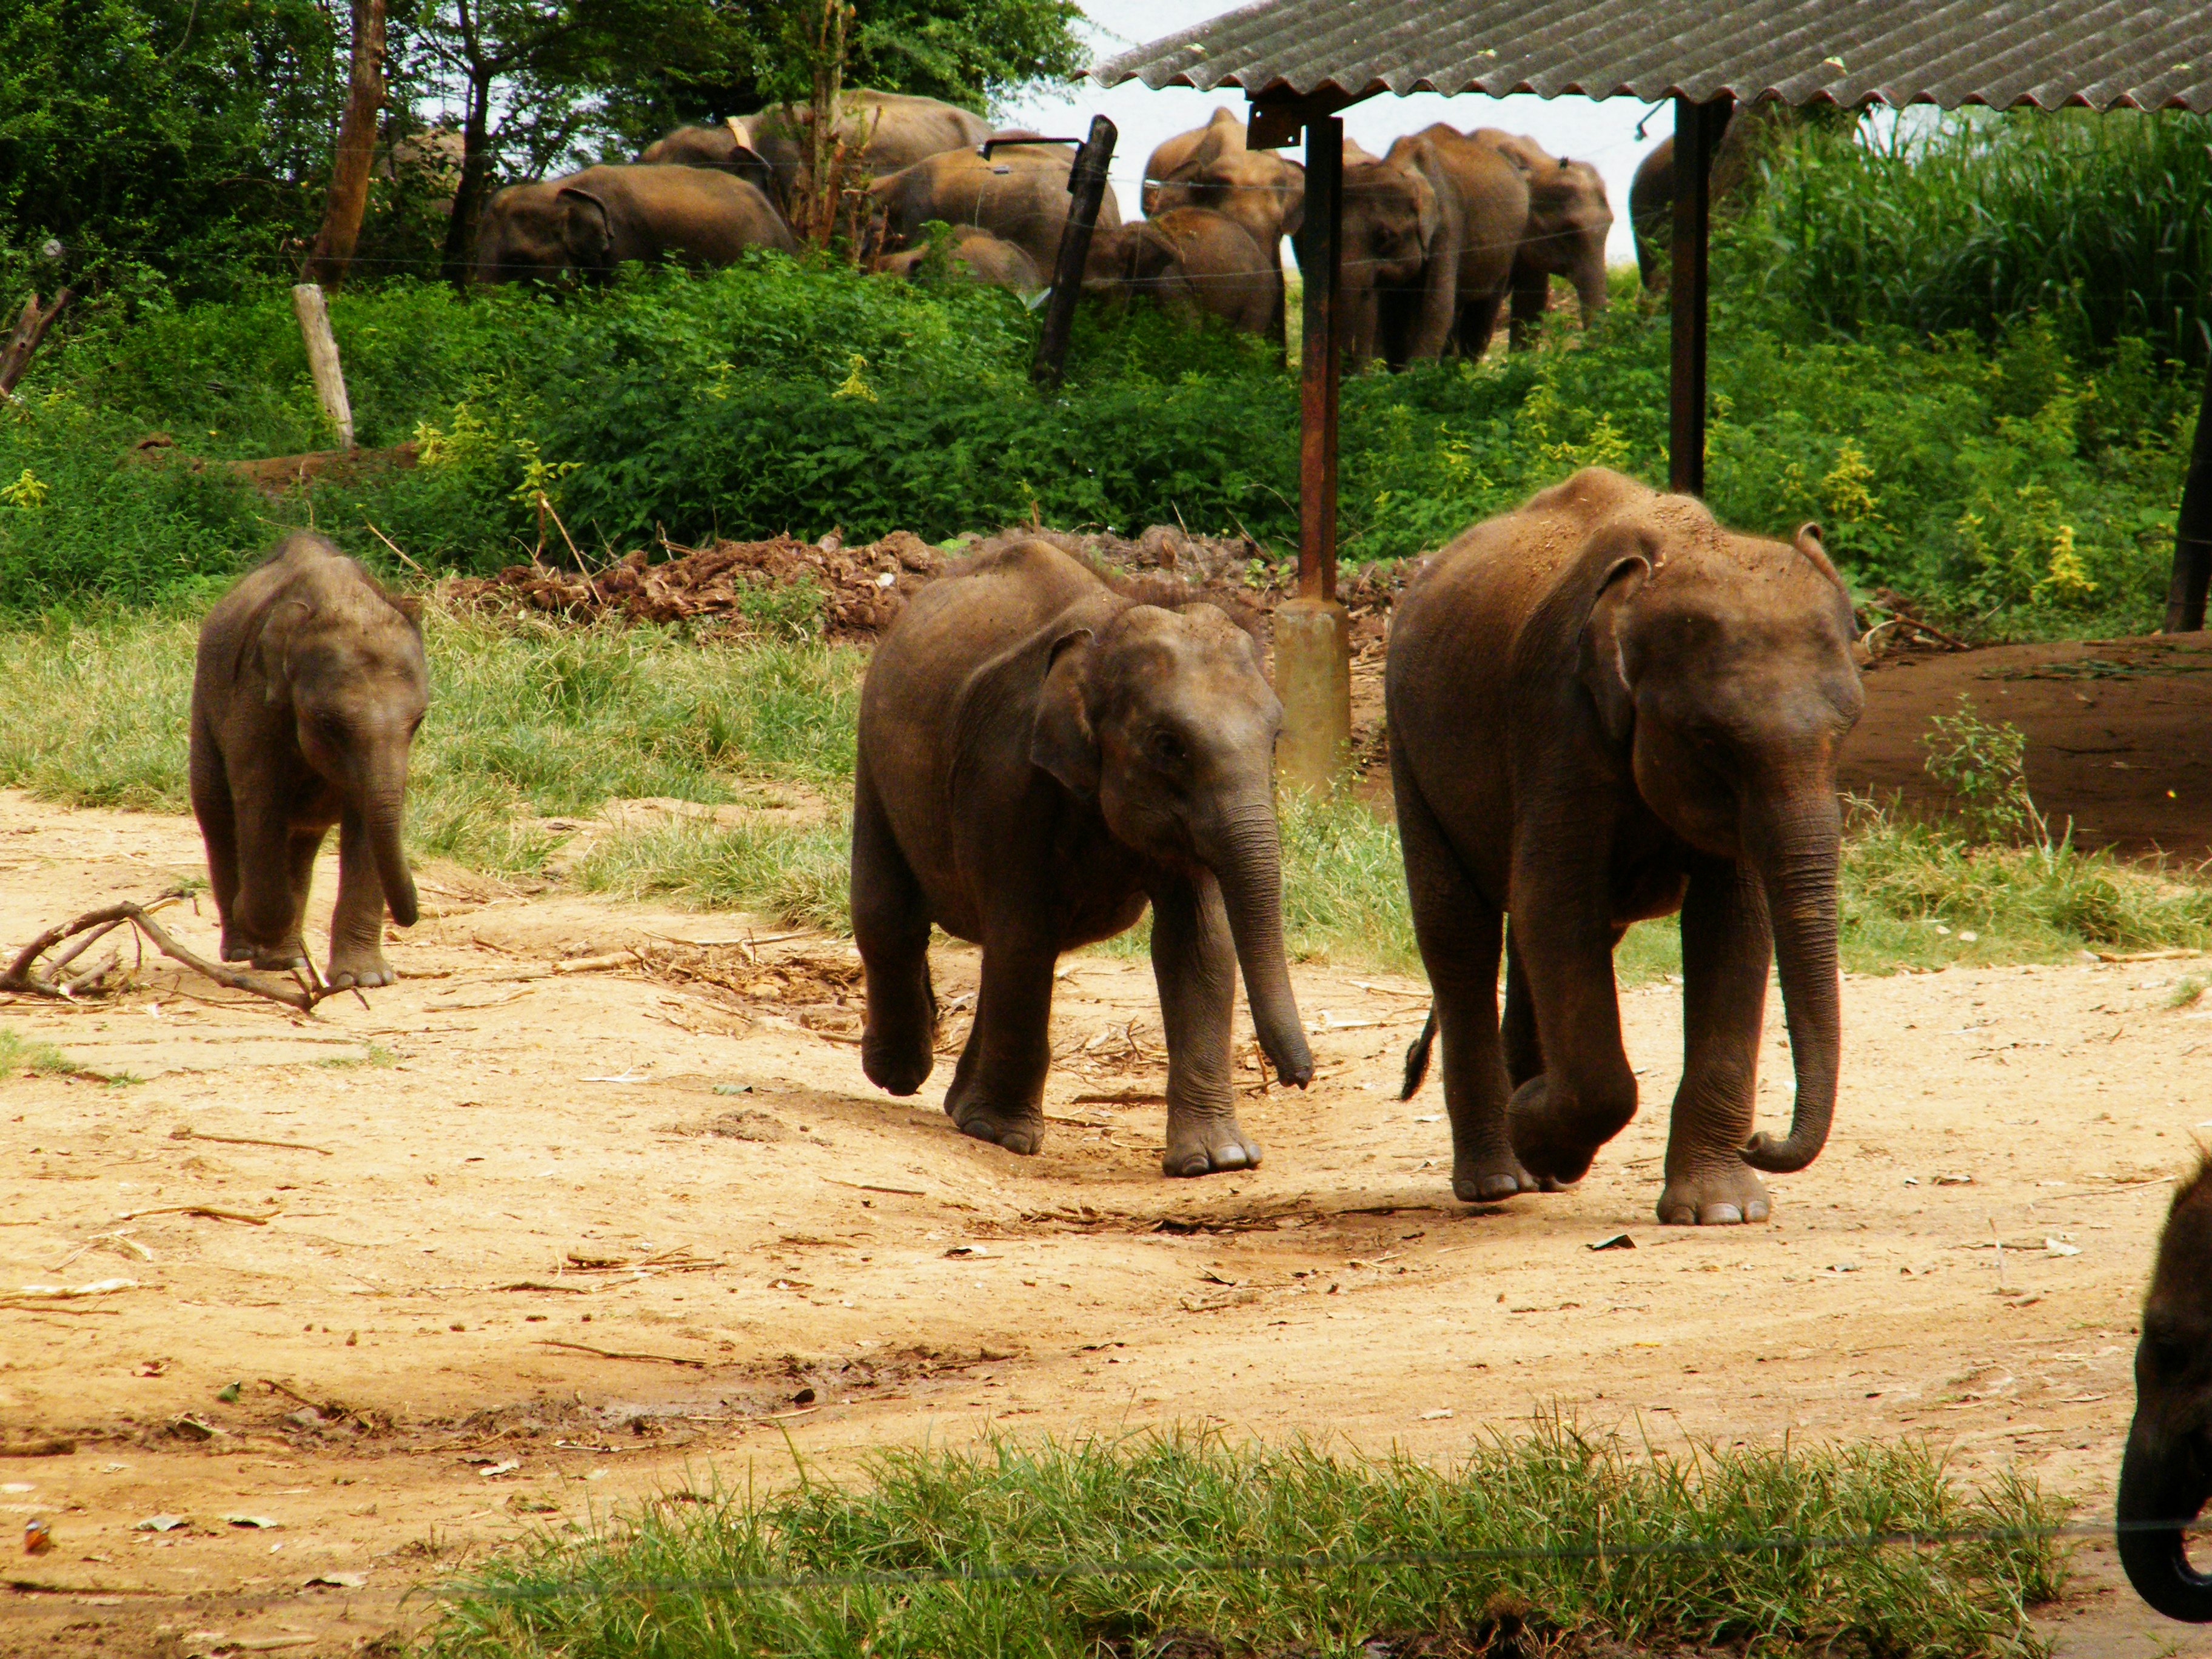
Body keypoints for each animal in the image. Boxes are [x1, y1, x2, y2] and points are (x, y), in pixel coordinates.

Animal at [189, 533, 428, 991]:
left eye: (419, 721)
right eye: (327, 722)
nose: (412, 916)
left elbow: (366, 823)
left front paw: (366, 980)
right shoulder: (255, 702)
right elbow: (258, 801)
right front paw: (252, 915)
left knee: (300, 838)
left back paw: (284, 959)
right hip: (204, 709)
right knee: (217, 811)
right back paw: (246, 950)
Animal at [852, 539, 1314, 1177]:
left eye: (1274, 741)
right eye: (1168, 745)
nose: (1300, 1078)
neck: (1108, 632)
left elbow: (1198, 943)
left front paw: (1218, 1160)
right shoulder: (1005, 776)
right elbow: (1025, 932)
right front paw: (1004, 1137)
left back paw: (957, 1104)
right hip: (873, 749)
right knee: (890, 914)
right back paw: (898, 1075)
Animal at [1387, 467, 1863, 1225]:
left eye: (1849, 728)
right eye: (1711, 741)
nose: (1762, 1139)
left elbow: (1734, 923)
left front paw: (1721, 1213)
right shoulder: (1558, 719)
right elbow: (1554, 902)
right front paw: (1537, 1131)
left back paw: (1534, 1162)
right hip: (1410, 746)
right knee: (1459, 932)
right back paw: (1499, 1178)